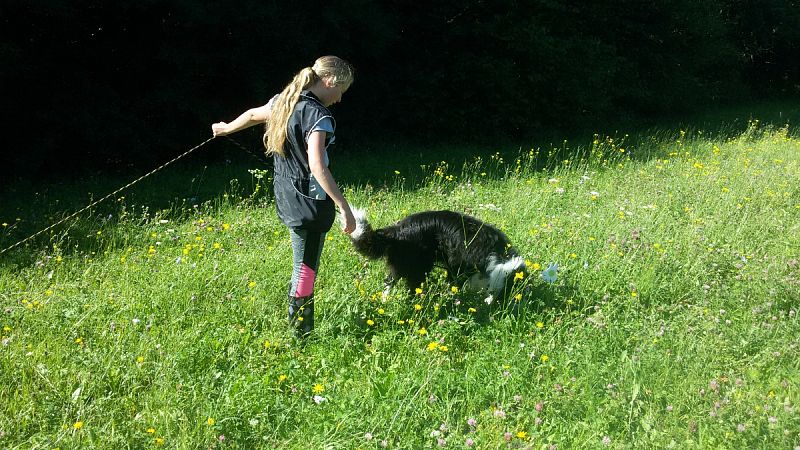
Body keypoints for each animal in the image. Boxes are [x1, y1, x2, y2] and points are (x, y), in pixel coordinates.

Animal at [348, 208, 524, 302]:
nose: (491, 305)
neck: (498, 255)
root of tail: (396, 231)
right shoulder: (458, 266)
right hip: (417, 265)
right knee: (402, 284)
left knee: (390, 280)